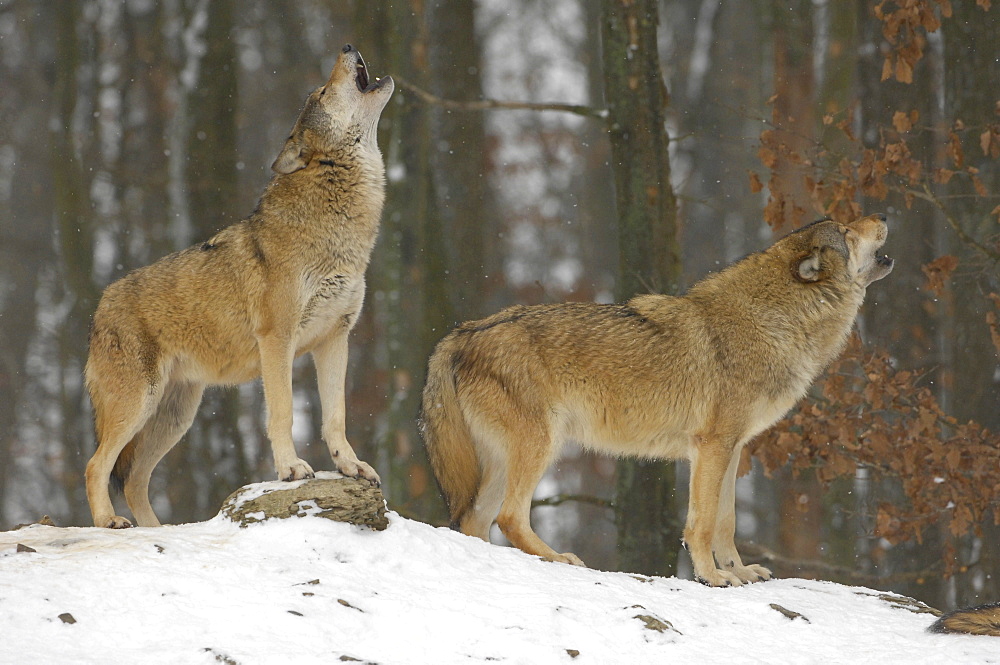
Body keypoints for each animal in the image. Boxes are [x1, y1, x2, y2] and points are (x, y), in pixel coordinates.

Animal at [84, 44, 392, 528]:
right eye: (321, 93)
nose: (346, 47)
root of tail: (100, 305)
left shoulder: (335, 337)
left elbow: (335, 417)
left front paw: (350, 466)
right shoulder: (277, 339)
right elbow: (283, 412)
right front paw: (291, 469)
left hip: (175, 416)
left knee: (133, 478)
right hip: (139, 405)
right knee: (97, 464)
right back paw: (108, 523)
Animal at [418, 215, 896, 584]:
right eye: (848, 231)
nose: (883, 215)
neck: (774, 320)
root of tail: (461, 333)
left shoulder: (733, 449)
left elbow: (726, 523)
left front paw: (739, 572)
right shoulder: (712, 447)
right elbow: (702, 524)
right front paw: (712, 577)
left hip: (503, 462)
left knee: (474, 521)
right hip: (541, 446)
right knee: (509, 517)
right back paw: (559, 557)